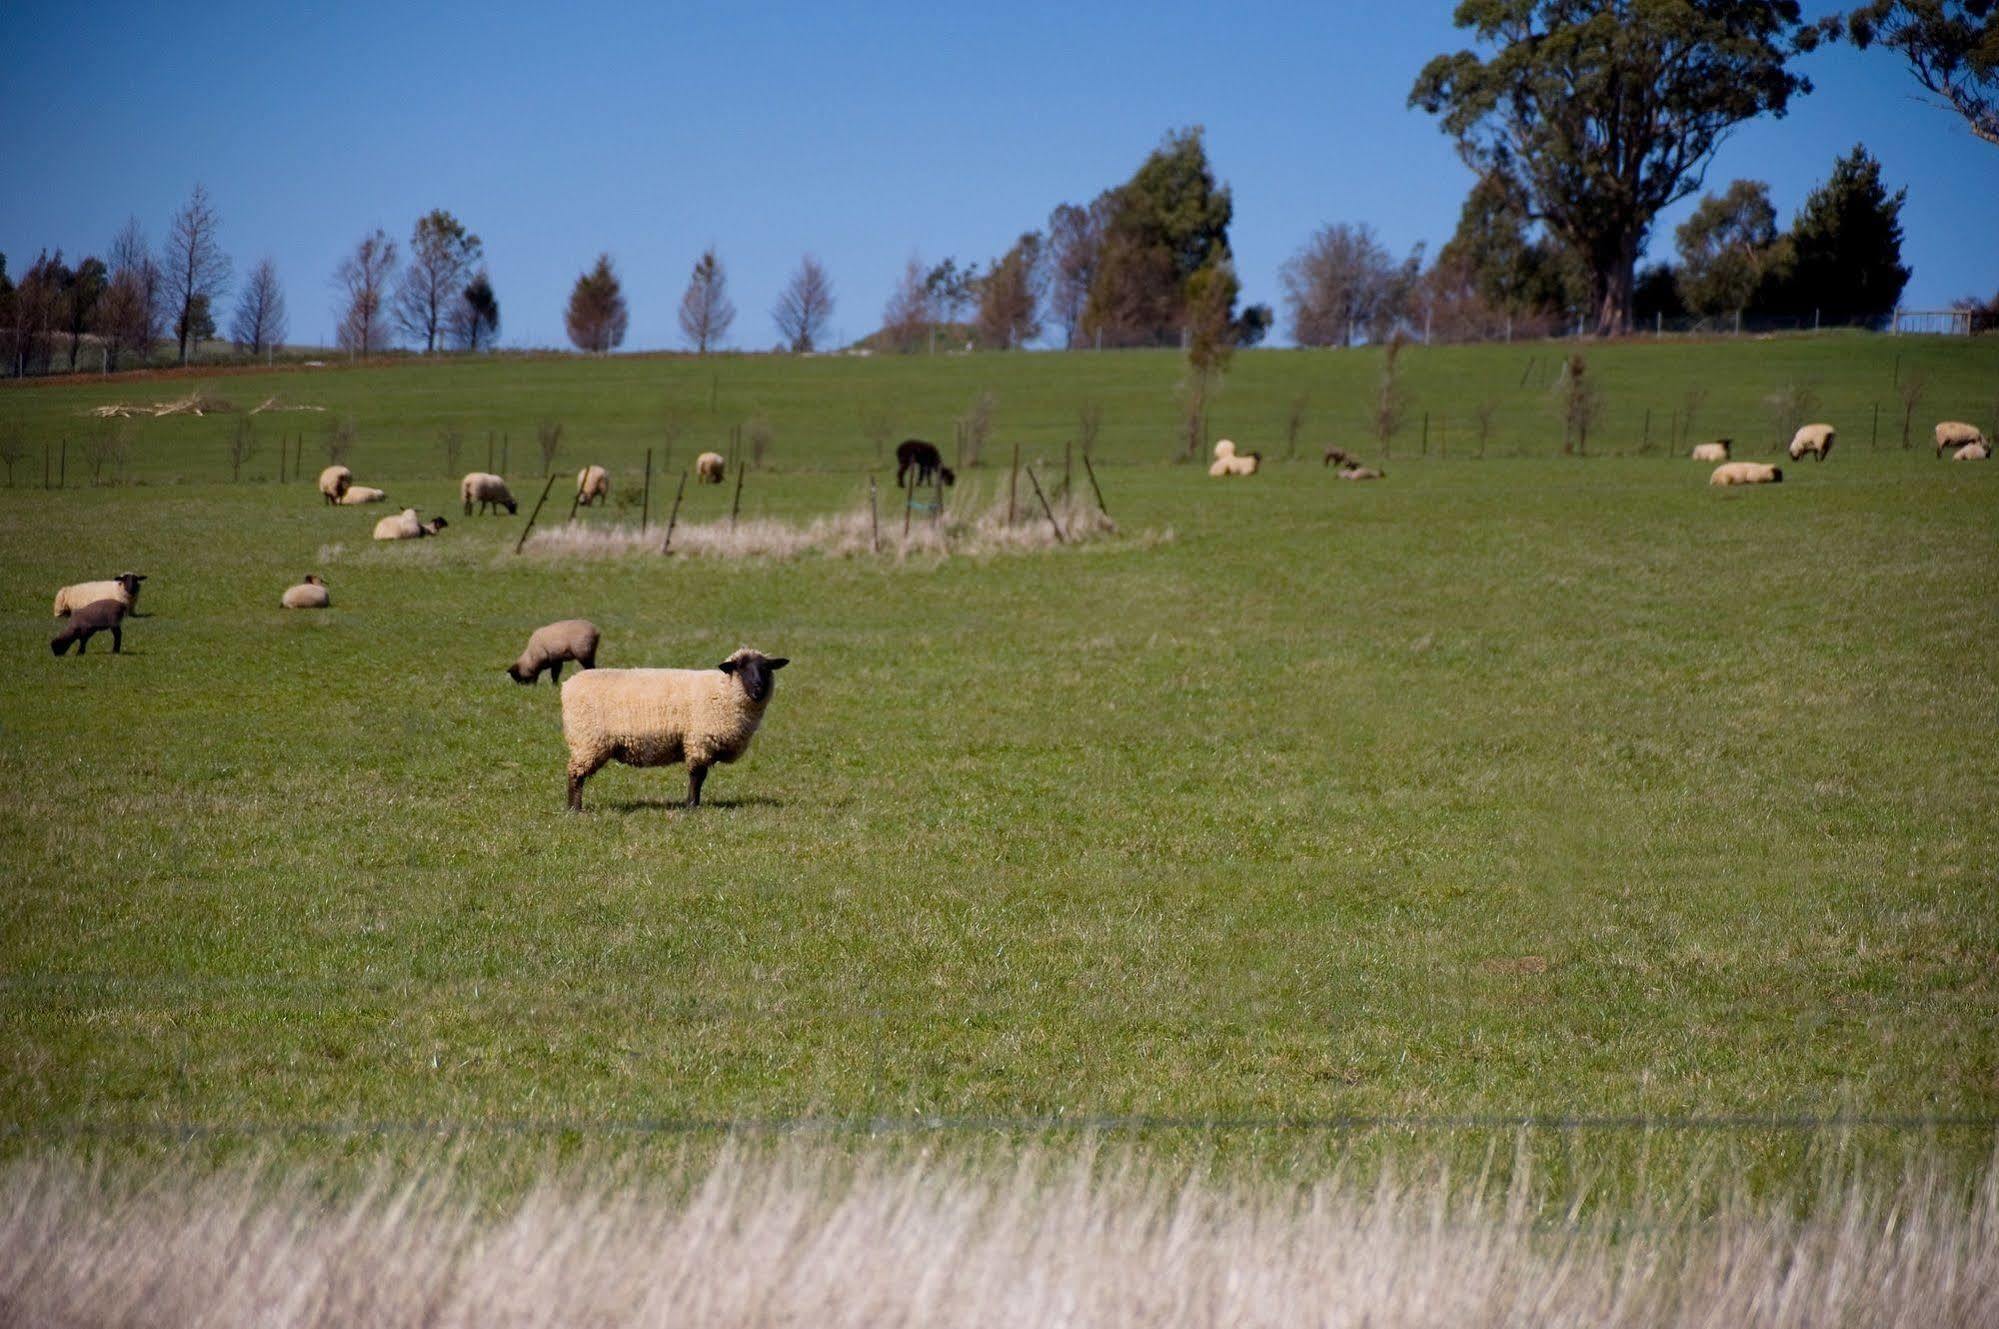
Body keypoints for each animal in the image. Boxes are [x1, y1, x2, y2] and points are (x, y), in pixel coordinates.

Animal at [563, 643, 787, 807]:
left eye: (766, 669)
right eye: (740, 668)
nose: (758, 689)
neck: (723, 692)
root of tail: (568, 684)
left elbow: (699, 776)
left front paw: (692, 804)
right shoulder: (699, 741)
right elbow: (697, 776)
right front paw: (692, 806)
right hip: (587, 741)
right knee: (575, 774)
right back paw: (575, 809)